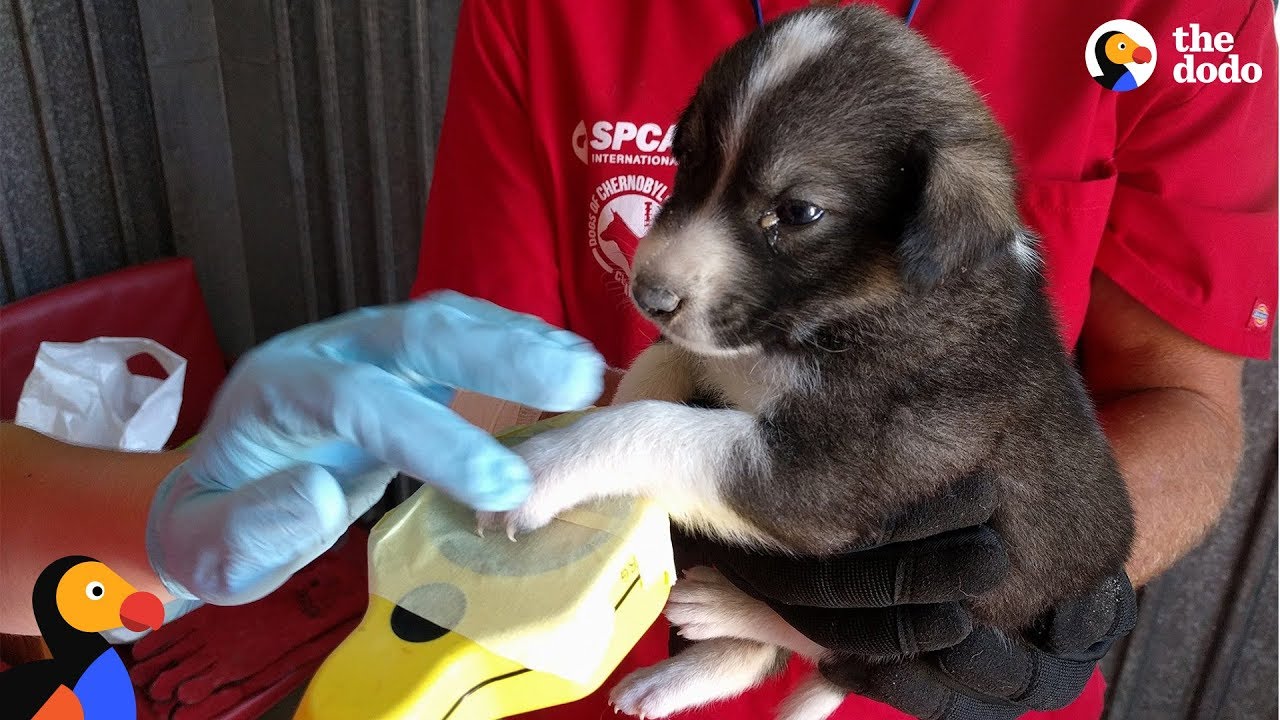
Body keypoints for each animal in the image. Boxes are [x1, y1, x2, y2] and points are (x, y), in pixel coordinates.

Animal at [478, 7, 1131, 717]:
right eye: (686, 159)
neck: (838, 312)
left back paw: (725, 606)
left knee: (834, 644)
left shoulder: (824, 473)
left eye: (797, 212)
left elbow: (655, 427)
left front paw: (546, 466)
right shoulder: (722, 354)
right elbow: (661, 370)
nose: (648, 297)